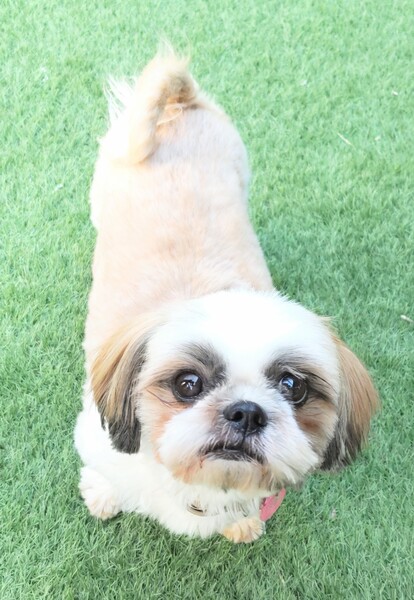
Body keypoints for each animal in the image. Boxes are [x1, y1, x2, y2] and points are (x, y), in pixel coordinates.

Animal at [74, 52, 378, 543]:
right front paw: (102, 493)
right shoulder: (96, 438)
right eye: (188, 384)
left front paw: (243, 522)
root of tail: (181, 107)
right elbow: (104, 471)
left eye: (292, 386)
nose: (246, 412)